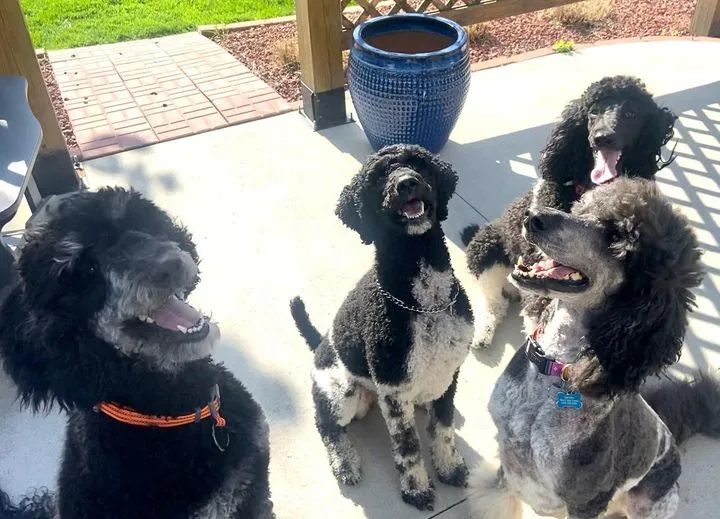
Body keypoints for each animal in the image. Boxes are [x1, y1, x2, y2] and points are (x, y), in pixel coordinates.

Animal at [290, 144, 476, 510]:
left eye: (419, 163)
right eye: (377, 177)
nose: (407, 183)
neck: (423, 302)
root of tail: (320, 346)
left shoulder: (449, 374)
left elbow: (443, 427)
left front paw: (448, 466)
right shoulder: (394, 391)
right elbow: (408, 447)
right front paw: (416, 489)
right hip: (342, 394)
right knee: (326, 425)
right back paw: (344, 461)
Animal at [462, 75, 676, 350]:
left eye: (632, 113)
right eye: (593, 111)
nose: (602, 137)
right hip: (485, 251)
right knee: (494, 302)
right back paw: (484, 331)